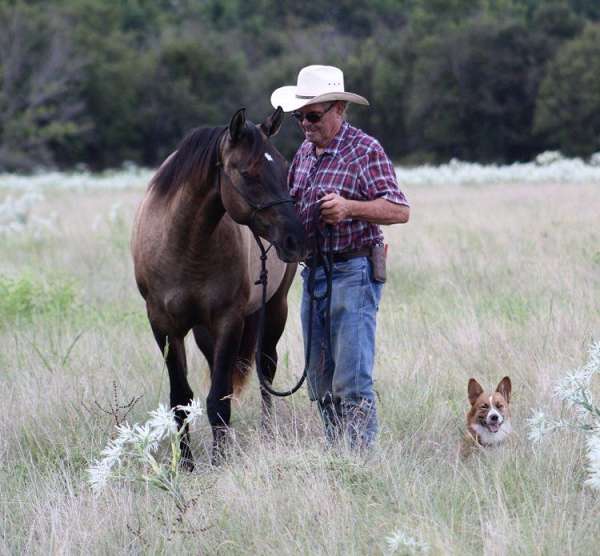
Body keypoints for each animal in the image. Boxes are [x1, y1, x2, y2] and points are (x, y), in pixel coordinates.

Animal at [133, 107, 308, 464]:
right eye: (248, 174)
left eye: (285, 168)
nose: (295, 240)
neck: (185, 245)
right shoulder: (163, 325)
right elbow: (181, 398)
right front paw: (186, 464)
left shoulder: (230, 321)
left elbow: (219, 399)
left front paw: (220, 460)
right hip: (204, 331)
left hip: (275, 310)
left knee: (265, 369)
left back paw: (266, 432)